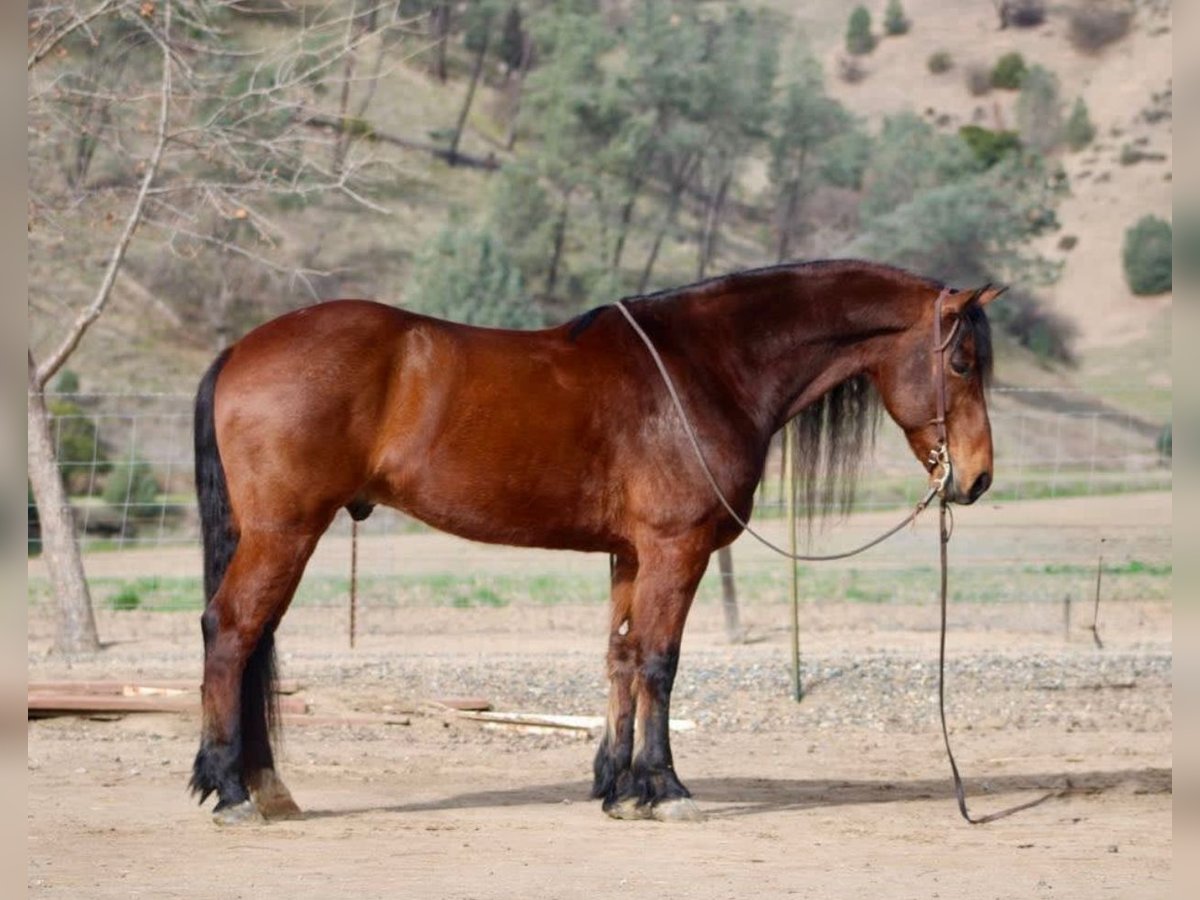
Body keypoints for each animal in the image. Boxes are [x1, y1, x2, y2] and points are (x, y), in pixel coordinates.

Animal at [189, 259, 1003, 825]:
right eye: (962, 362)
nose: (978, 478)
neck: (705, 367)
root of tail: (239, 350)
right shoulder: (677, 549)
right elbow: (659, 662)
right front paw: (665, 788)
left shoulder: (631, 553)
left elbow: (619, 658)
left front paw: (617, 788)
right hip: (285, 532)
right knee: (232, 633)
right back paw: (233, 791)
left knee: (251, 640)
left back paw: (264, 788)